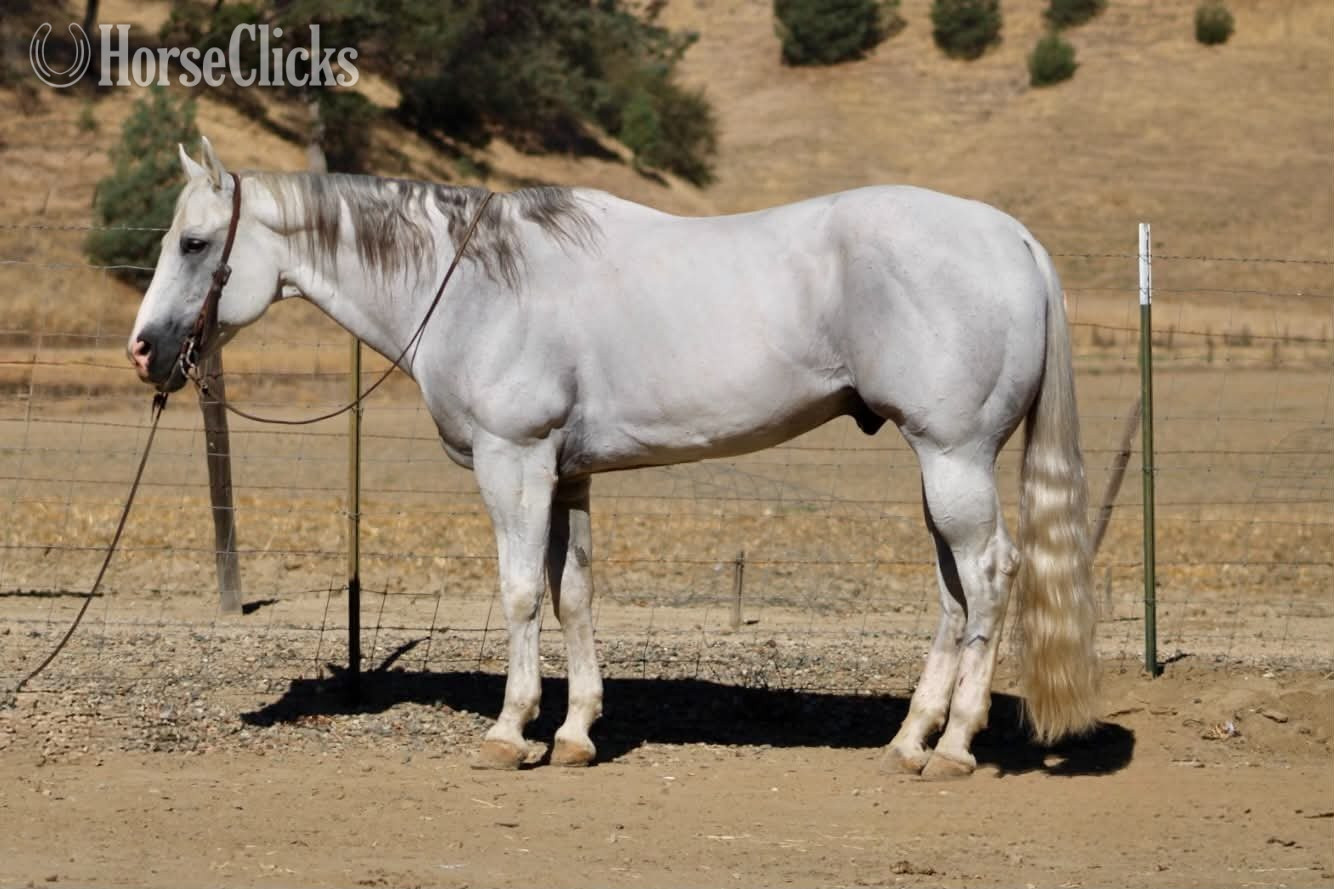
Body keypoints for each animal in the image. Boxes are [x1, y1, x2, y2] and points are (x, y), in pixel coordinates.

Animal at [128, 138, 1099, 777]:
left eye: (193, 243)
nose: (143, 350)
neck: (476, 280)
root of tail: (1013, 238)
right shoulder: (568, 474)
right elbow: (574, 594)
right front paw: (574, 733)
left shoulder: (514, 463)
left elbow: (522, 591)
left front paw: (510, 730)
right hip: (940, 467)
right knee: (954, 593)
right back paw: (908, 741)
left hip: (955, 457)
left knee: (990, 575)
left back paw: (957, 745)